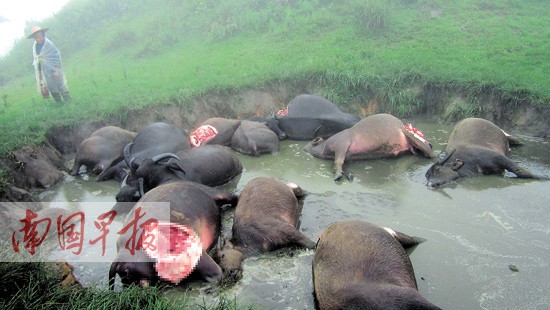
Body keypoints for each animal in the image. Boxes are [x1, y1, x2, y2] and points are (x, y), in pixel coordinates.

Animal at [304, 113, 434, 182]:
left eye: (312, 142)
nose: (303, 149)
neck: (324, 148)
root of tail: (401, 126)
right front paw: (348, 175)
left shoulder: (341, 145)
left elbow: (338, 161)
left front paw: (338, 175)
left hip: (410, 136)